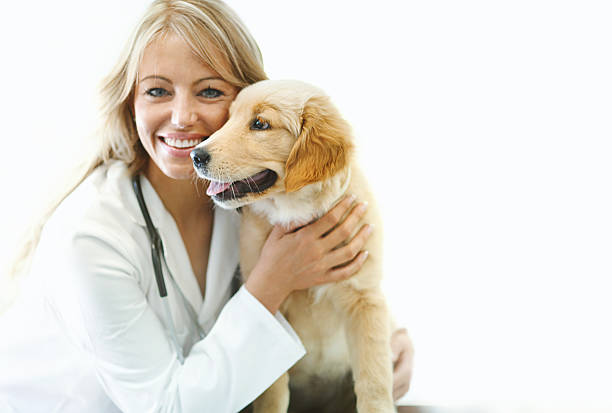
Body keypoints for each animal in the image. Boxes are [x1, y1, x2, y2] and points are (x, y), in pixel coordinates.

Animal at [191, 79, 394, 410]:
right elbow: (273, 391)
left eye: (260, 124)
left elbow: (374, 381)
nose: (195, 155)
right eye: (228, 118)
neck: (297, 212)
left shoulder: (365, 299)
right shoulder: (269, 302)